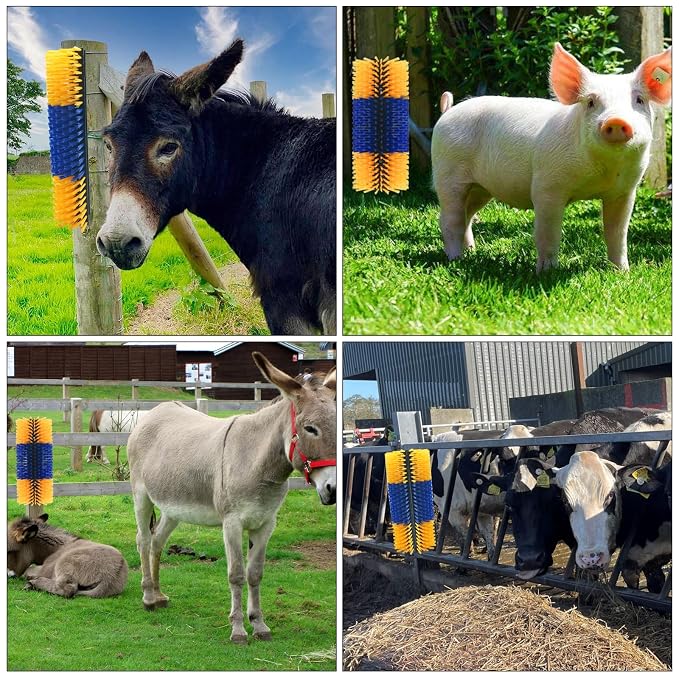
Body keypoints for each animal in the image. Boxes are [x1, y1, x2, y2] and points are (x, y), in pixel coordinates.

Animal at [127, 352, 336, 643]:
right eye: (310, 429)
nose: (333, 489)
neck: (256, 462)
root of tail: (157, 410)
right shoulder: (232, 523)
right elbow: (236, 574)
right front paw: (238, 630)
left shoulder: (265, 523)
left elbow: (255, 574)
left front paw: (259, 625)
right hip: (141, 495)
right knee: (143, 540)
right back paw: (147, 597)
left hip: (173, 508)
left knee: (157, 541)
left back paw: (158, 595)